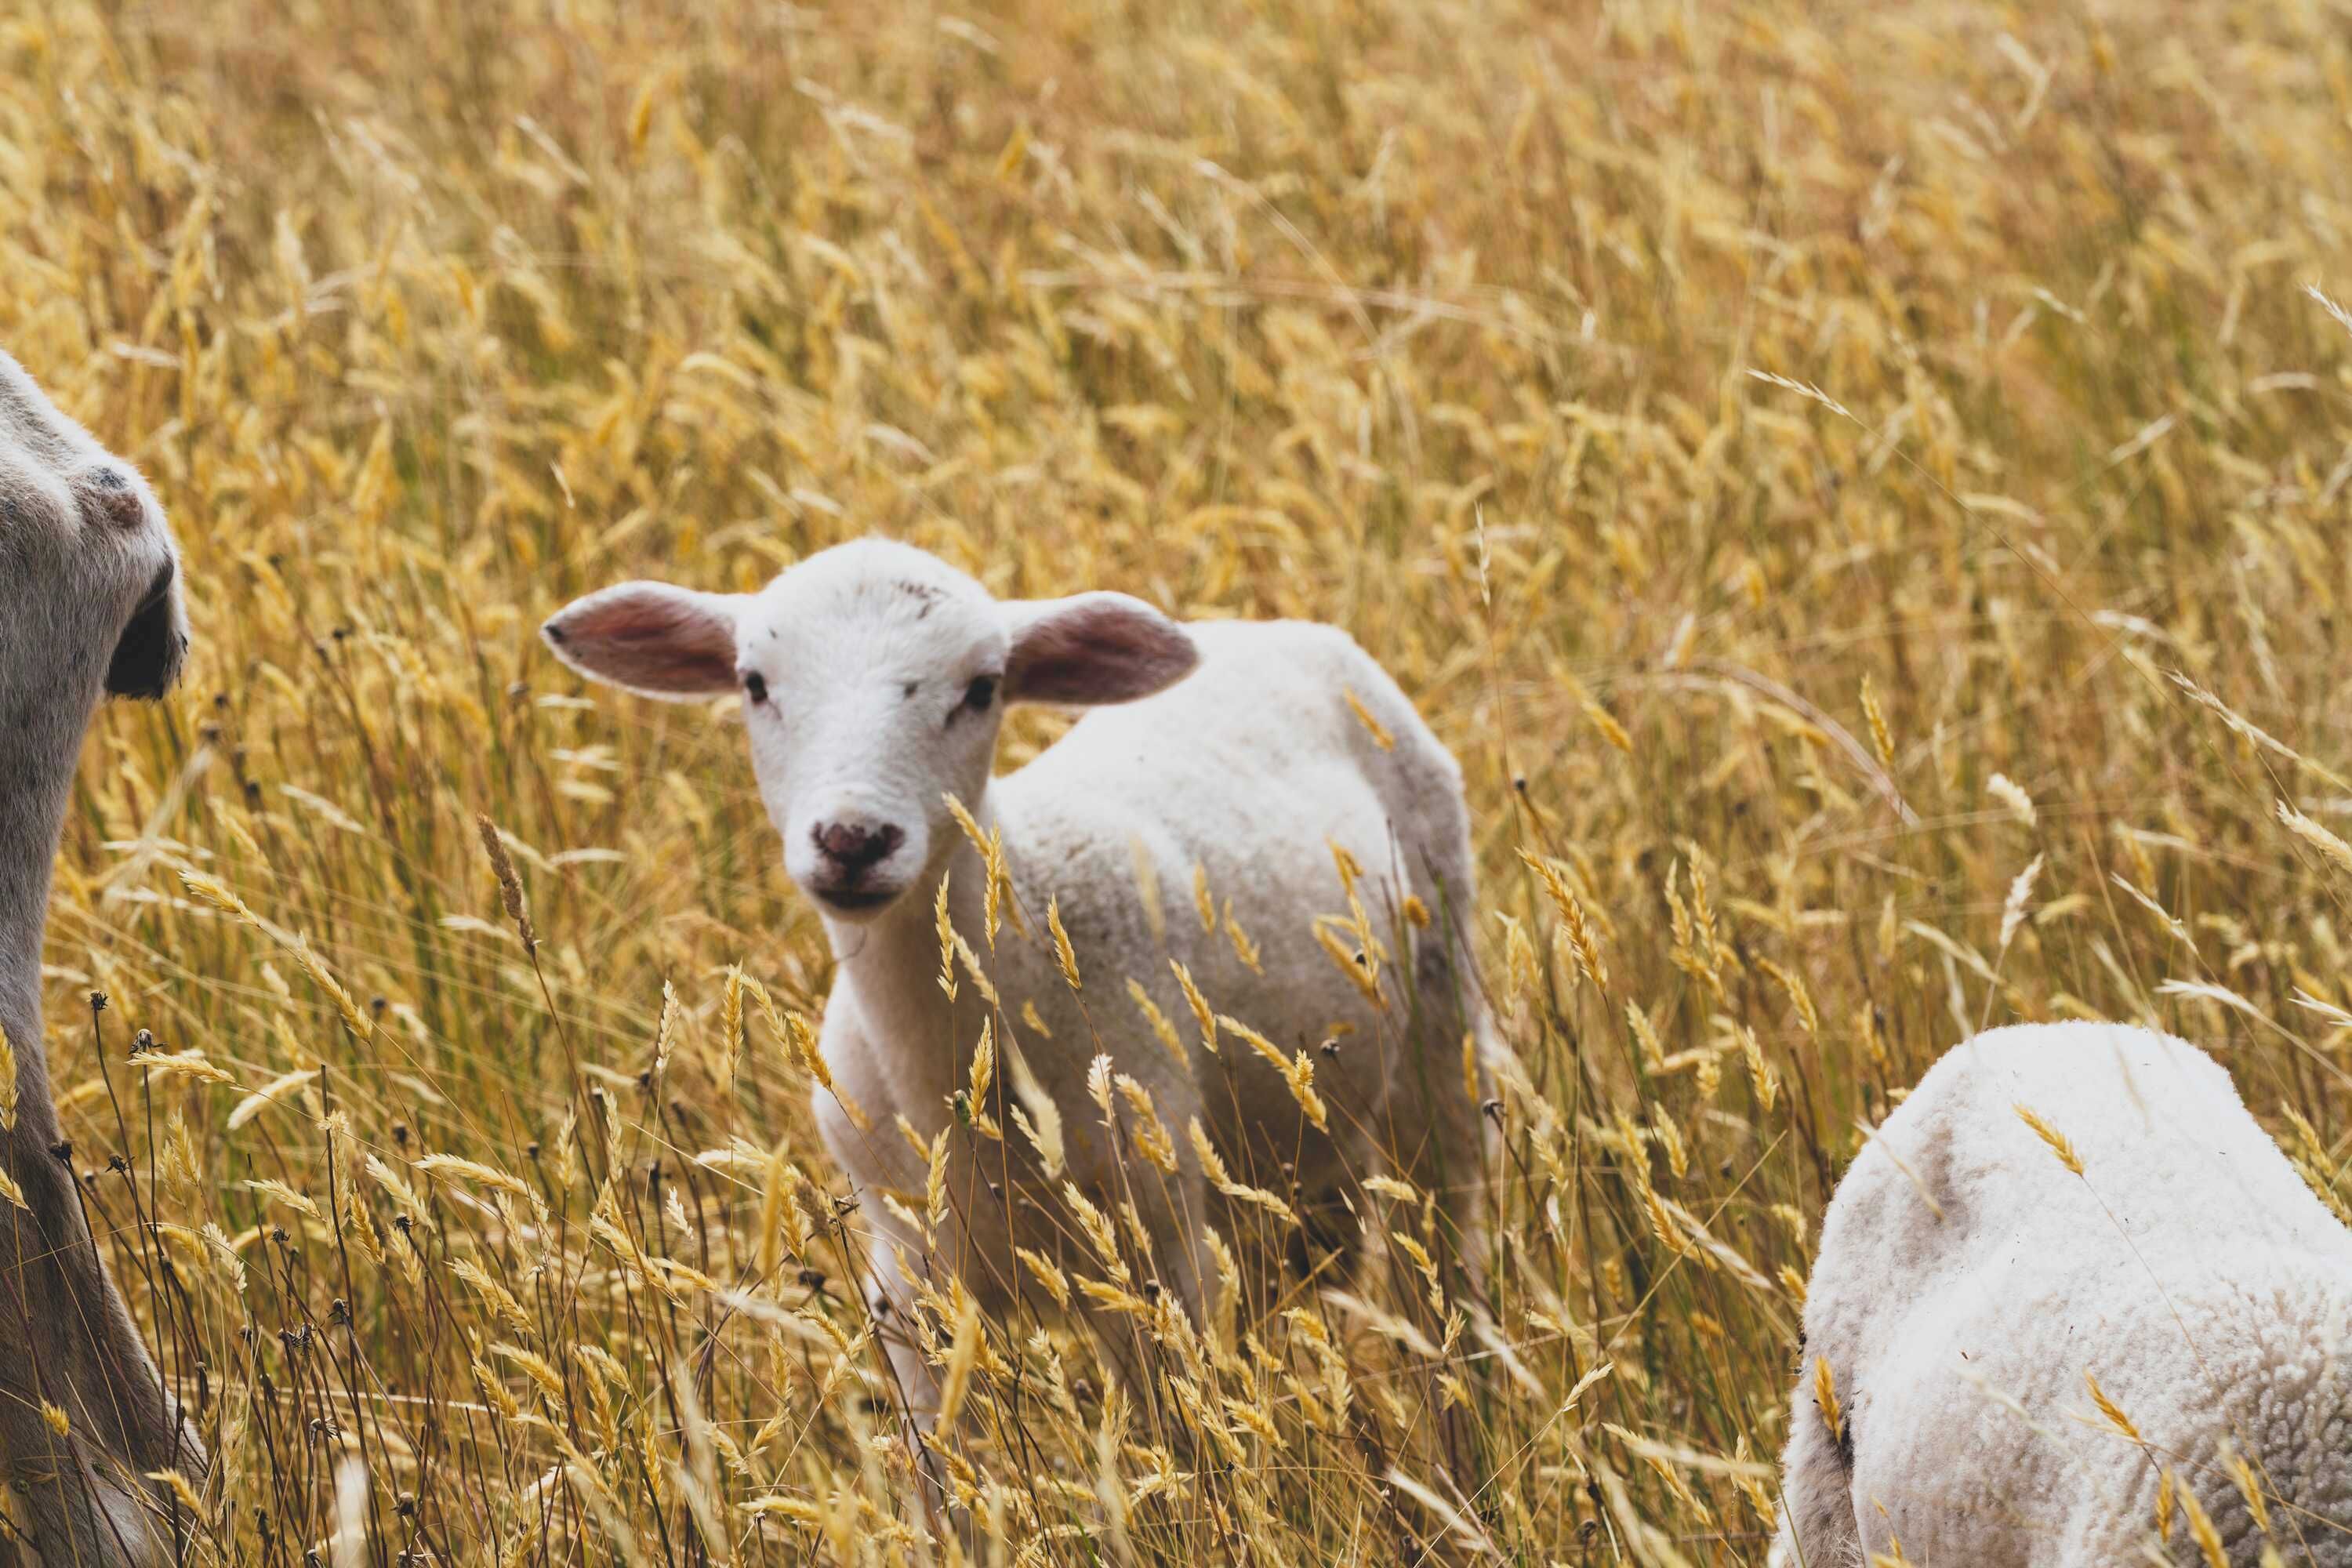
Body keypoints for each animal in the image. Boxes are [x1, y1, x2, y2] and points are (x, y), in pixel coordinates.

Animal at [543, 538, 1502, 1423]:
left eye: (982, 688)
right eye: (752, 682)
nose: (854, 839)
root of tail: (1268, 627)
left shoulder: (1158, 1260)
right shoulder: (908, 1286)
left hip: (1439, 1046)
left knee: (1445, 1275)